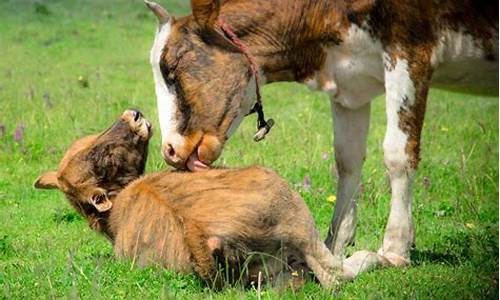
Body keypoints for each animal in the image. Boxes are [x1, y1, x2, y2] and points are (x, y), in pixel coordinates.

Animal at [34, 109, 376, 288]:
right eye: (102, 157)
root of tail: (203, 234)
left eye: (90, 142)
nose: (134, 115)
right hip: (294, 214)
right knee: (335, 273)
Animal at [143, 0, 498, 276]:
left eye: (172, 68)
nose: (169, 149)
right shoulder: (350, 83)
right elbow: (347, 159)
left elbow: (397, 154)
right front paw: (335, 242)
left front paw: (395, 247)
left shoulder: (410, 49)